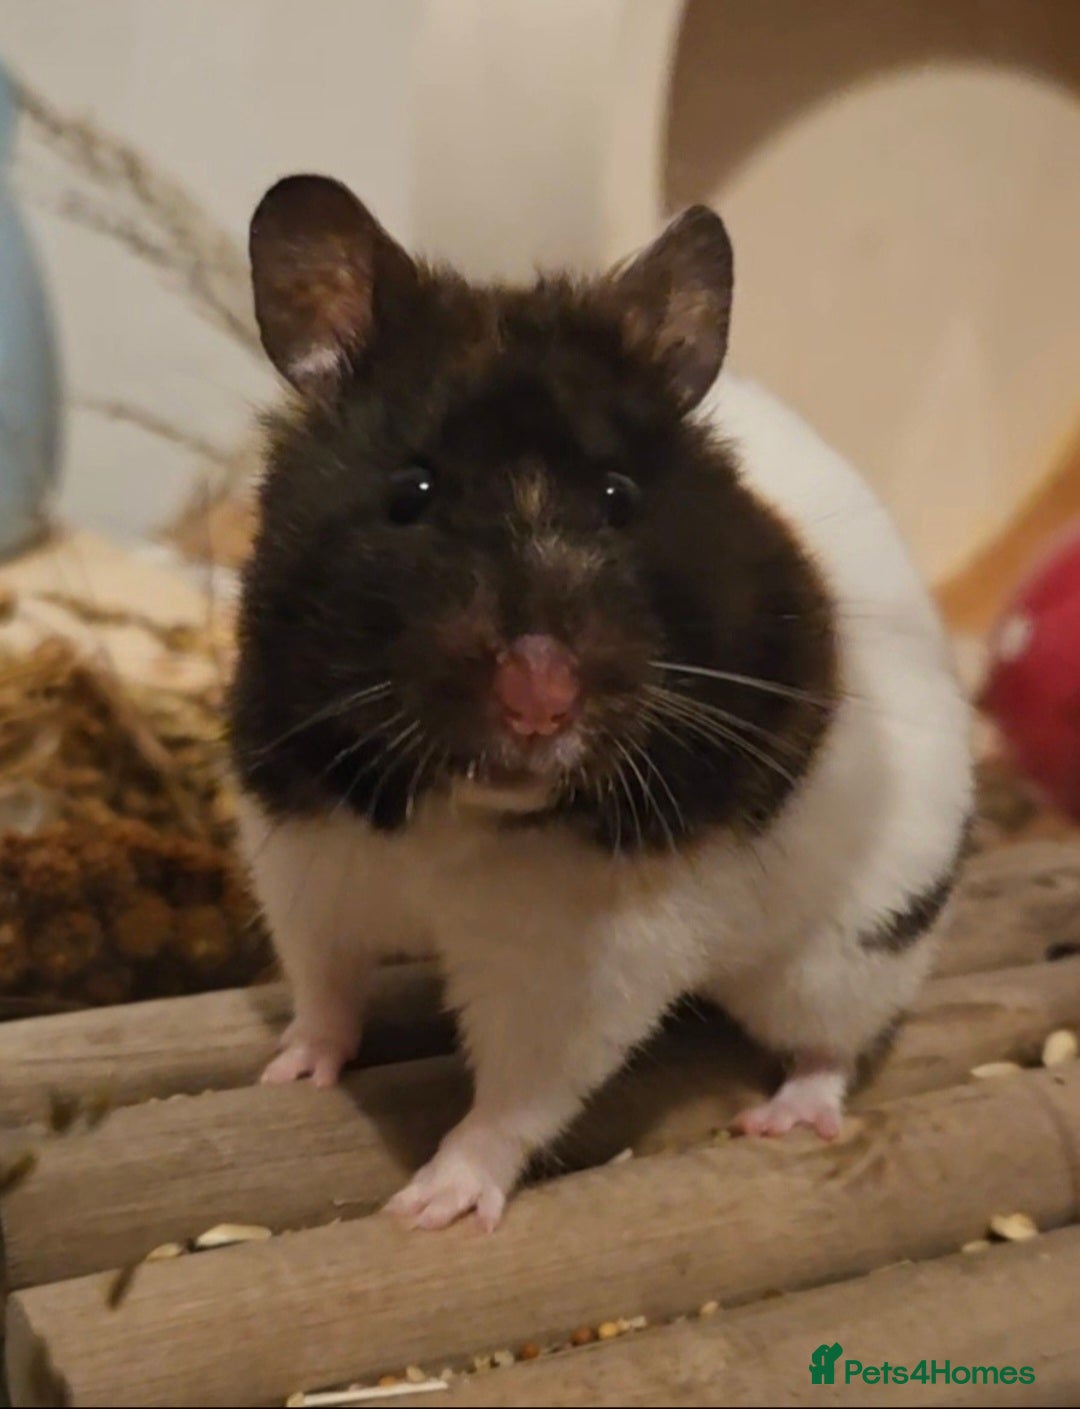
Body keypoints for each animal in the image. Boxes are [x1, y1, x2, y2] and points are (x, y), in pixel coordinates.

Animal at [230, 174, 972, 1231]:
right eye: (411, 490)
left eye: (621, 499)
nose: (541, 700)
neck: (457, 814)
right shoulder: (302, 852)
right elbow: (324, 983)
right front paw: (288, 1071)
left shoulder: (580, 956)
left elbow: (518, 1093)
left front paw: (429, 1205)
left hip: (848, 949)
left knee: (833, 1040)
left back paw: (782, 1117)